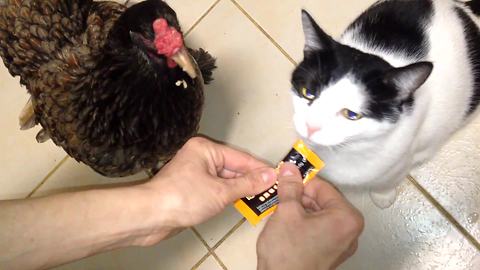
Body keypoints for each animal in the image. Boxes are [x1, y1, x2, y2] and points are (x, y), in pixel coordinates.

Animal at [290, 0, 480, 209]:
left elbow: (388, 180)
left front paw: (383, 195)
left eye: (352, 115)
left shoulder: (399, 158)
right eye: (307, 93)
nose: (310, 127)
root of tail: (461, 7)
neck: (348, 148)